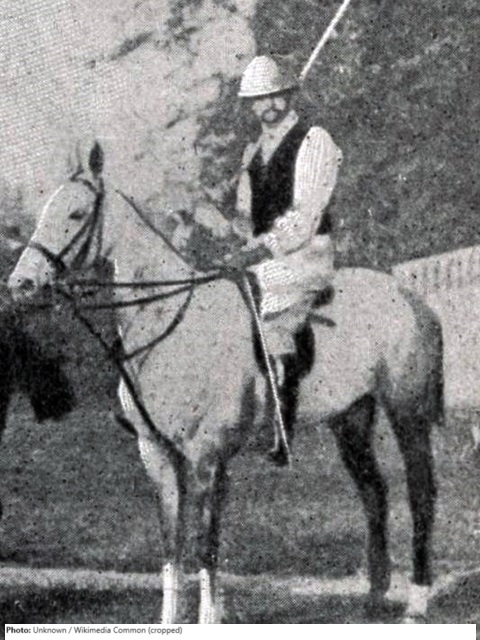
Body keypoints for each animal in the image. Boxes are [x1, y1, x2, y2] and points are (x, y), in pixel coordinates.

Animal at [8, 143, 443, 624]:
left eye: (76, 213)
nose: (20, 283)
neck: (169, 324)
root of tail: (414, 299)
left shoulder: (207, 456)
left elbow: (206, 546)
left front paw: (208, 618)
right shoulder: (157, 453)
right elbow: (173, 545)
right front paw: (171, 619)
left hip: (407, 411)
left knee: (421, 492)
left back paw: (417, 601)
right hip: (350, 417)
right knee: (374, 492)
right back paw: (374, 596)